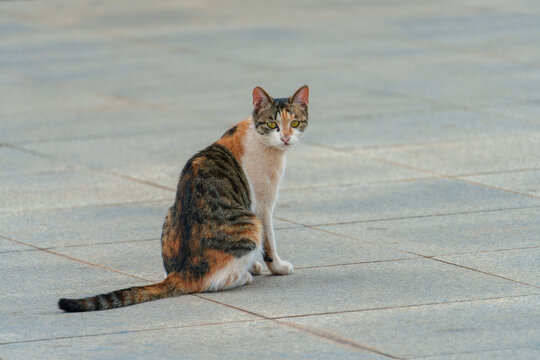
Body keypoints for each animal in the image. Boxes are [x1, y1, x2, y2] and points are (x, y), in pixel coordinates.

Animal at [58, 85, 308, 312]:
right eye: (272, 124)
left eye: (295, 123)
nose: (285, 138)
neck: (259, 137)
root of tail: (182, 273)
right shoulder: (263, 206)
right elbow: (270, 243)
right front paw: (278, 267)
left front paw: (255, 264)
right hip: (250, 223)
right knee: (215, 281)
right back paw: (243, 277)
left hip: (170, 212)